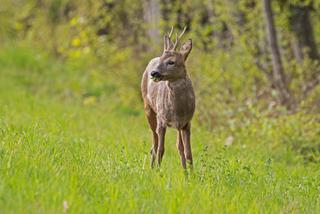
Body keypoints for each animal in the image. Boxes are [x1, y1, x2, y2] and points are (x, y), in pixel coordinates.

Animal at [142, 26, 195, 169]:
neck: (178, 109)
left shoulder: (186, 123)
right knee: (154, 144)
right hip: (148, 108)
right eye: (161, 59)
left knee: (178, 147)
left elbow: (188, 153)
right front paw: (158, 171)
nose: (154, 73)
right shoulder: (161, 119)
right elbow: (161, 149)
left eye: (171, 62)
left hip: (178, 126)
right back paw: (151, 167)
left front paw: (191, 173)